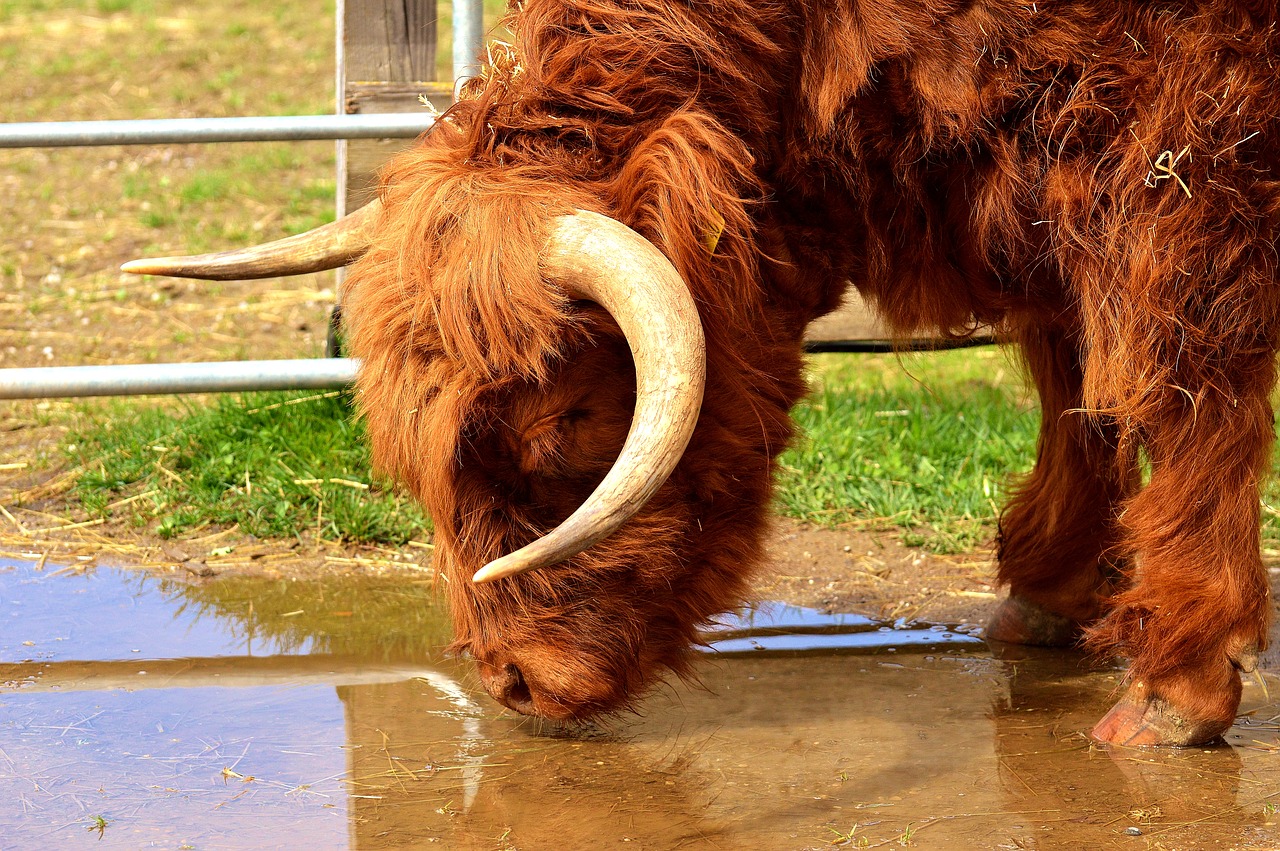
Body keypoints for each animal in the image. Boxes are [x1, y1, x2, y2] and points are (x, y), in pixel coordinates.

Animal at [127, 0, 1280, 742]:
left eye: (560, 424)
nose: (513, 684)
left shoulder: (1178, 173)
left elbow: (1181, 388)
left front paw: (1174, 684)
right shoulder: (1035, 191)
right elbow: (1076, 379)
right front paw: (1047, 593)